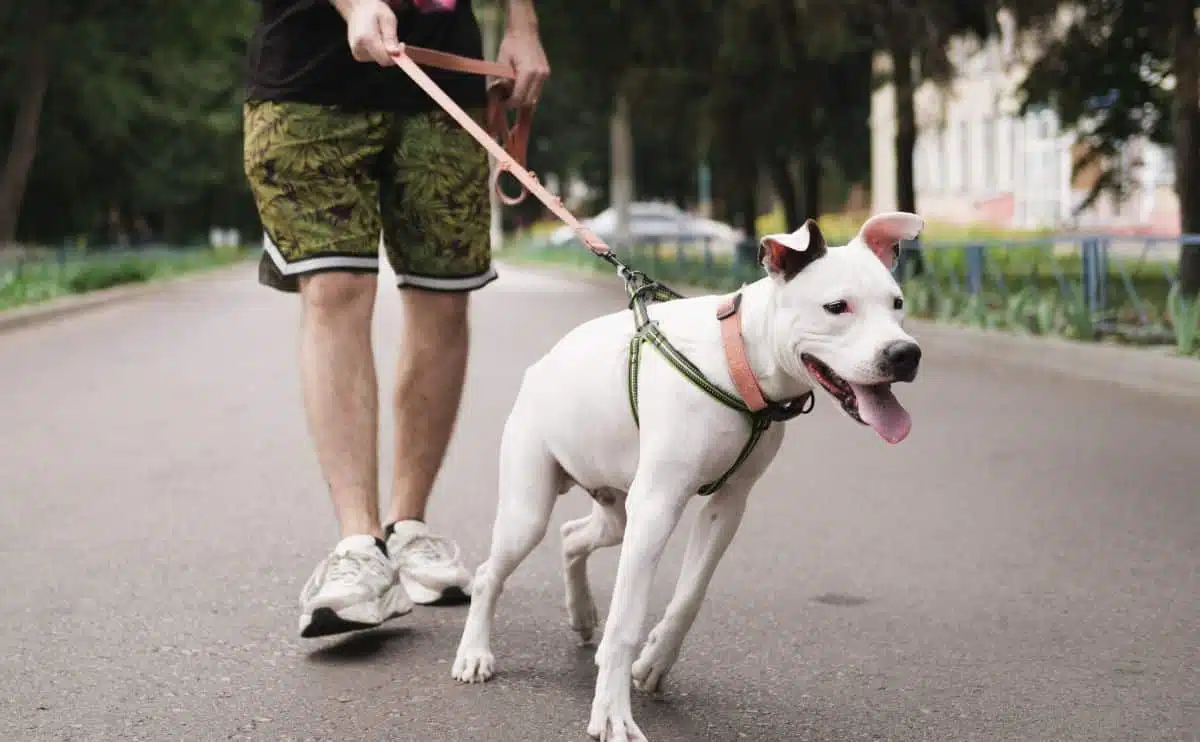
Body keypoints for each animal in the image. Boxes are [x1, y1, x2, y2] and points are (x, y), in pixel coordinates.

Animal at [451, 211, 926, 734]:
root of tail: (541, 366)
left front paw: (656, 658)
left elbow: (690, 593)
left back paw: (581, 613)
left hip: (615, 511)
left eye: (897, 303)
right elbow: (626, 622)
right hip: (529, 510)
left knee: (573, 535)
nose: (904, 353)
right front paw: (612, 712)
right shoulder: (657, 507)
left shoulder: (728, 505)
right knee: (490, 572)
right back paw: (475, 652)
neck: (740, 359)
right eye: (837, 307)